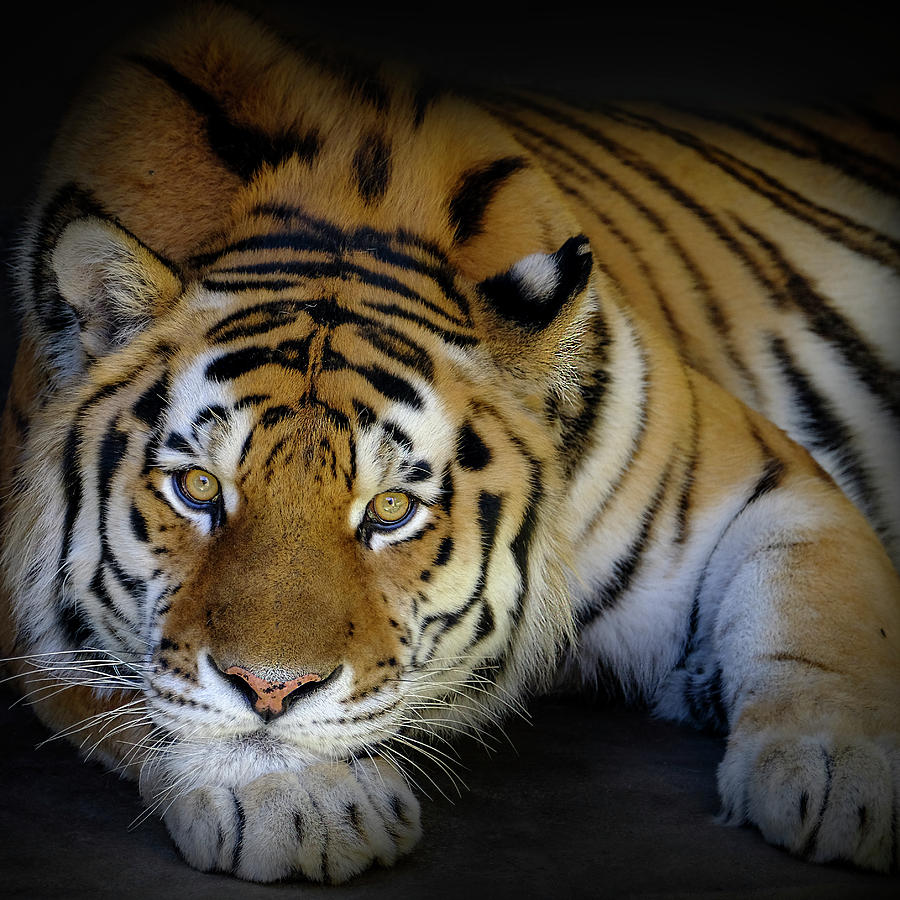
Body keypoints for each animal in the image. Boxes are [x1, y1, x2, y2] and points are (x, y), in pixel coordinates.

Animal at [0, 1, 896, 884]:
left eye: (392, 508)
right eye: (198, 489)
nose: (269, 688)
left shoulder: (765, 482)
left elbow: (822, 618)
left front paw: (839, 772)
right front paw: (301, 795)